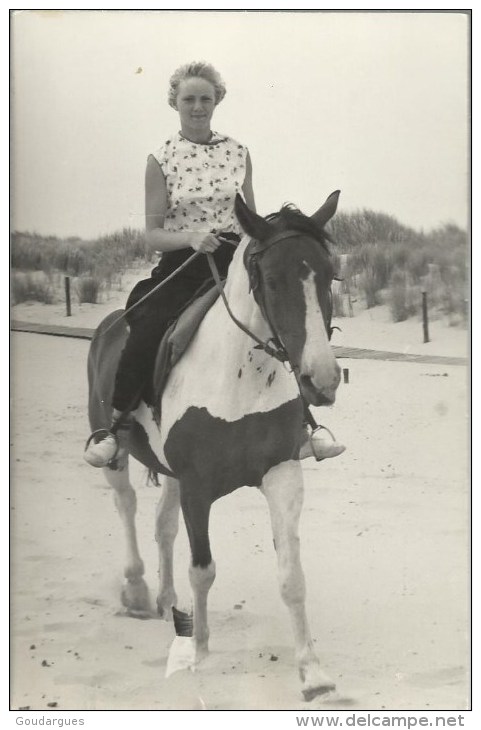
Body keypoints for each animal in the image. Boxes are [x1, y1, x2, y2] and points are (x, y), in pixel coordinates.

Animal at [86, 191, 342, 696]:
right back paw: (138, 589)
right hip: (119, 457)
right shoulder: (198, 485)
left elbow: (292, 577)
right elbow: (202, 569)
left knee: (163, 526)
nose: (321, 380)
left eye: (329, 275)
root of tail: (109, 325)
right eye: (271, 280)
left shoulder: (281, 474)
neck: (240, 376)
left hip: (169, 474)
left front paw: (312, 671)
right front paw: (200, 652)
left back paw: (167, 601)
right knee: (126, 506)